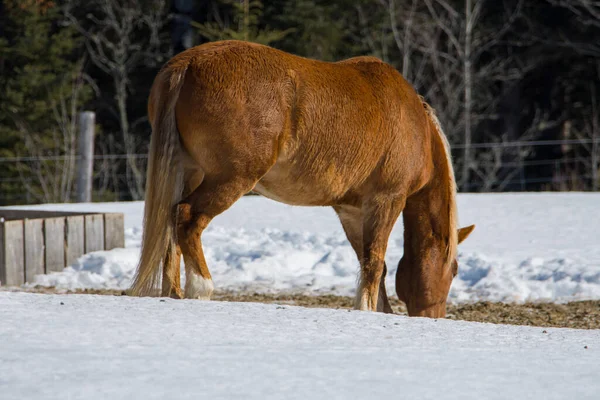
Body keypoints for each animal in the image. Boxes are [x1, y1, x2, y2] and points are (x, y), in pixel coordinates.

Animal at [130, 39, 474, 318]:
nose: (434, 317)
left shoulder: (352, 211)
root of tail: (187, 65)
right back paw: (200, 289)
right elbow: (375, 262)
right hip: (229, 179)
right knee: (187, 218)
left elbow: (368, 262)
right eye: (455, 270)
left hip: (188, 173)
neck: (416, 126)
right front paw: (368, 311)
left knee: (171, 223)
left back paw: (173, 294)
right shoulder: (386, 200)